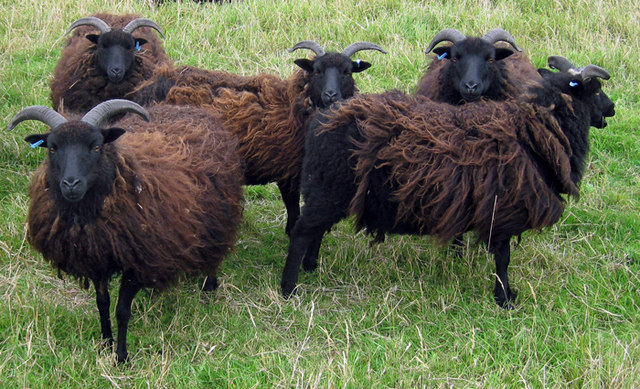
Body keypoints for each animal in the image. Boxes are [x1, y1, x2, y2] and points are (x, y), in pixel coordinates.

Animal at [10, 98, 245, 362]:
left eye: (96, 146)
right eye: (52, 148)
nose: (71, 184)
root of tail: (190, 108)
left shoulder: (139, 261)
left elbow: (122, 310)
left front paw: (122, 357)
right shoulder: (96, 260)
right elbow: (102, 304)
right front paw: (105, 344)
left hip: (219, 215)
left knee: (216, 249)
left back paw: (209, 288)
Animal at [130, 40, 384, 233]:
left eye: (347, 72)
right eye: (316, 71)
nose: (331, 95)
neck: (295, 106)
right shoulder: (289, 172)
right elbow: (293, 209)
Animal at [282, 56, 612, 306]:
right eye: (596, 90)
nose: (612, 109)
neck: (534, 130)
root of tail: (322, 120)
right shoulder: (504, 211)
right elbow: (503, 260)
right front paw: (505, 298)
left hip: (326, 191)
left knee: (315, 231)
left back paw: (311, 268)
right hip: (329, 190)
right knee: (300, 234)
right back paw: (289, 288)